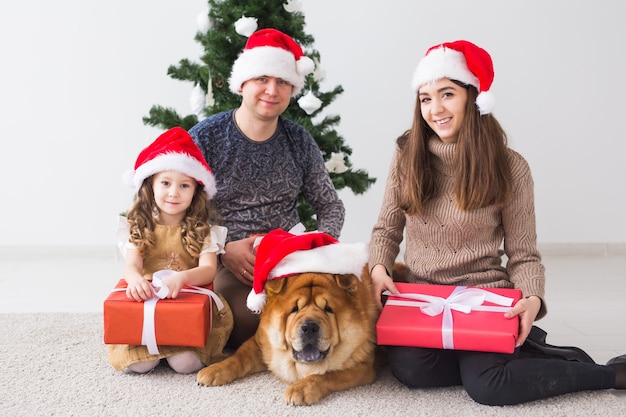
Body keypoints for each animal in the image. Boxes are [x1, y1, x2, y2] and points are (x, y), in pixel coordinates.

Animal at [197, 268, 378, 404]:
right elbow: (238, 358)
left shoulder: (363, 365)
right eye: (294, 309)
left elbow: (327, 374)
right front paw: (213, 370)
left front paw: (300, 389)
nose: (309, 327)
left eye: (328, 309)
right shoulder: (260, 344)